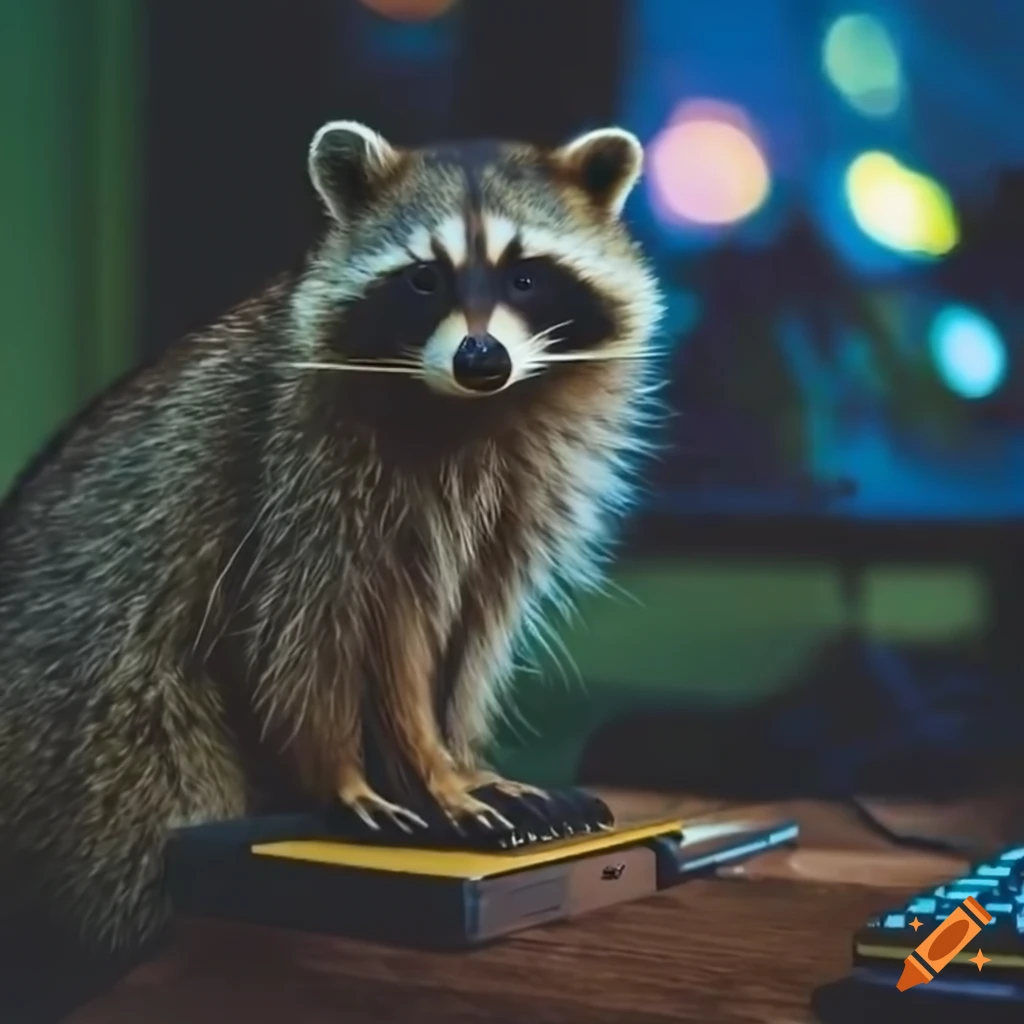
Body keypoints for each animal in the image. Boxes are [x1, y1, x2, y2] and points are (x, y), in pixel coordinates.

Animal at [0, 120, 663, 958]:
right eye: (424, 280)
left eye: (525, 277)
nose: (482, 359)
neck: (468, 408)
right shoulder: (299, 467)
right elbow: (313, 633)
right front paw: (380, 772)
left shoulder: (520, 504)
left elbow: (471, 630)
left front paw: (457, 756)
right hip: (110, 734)